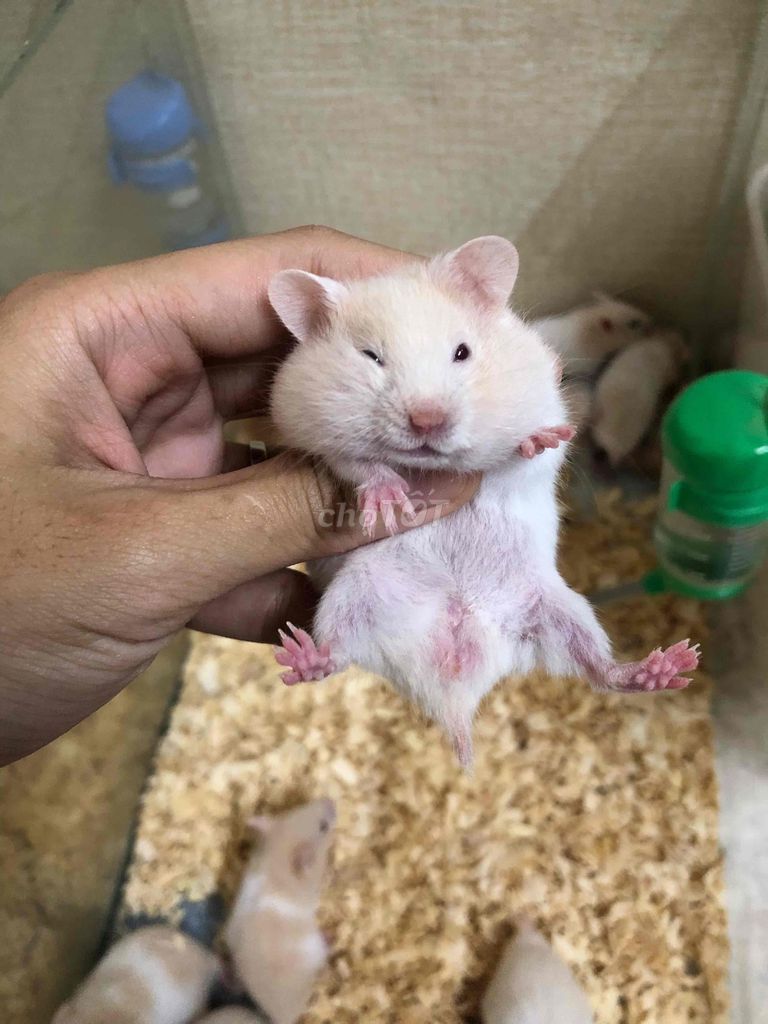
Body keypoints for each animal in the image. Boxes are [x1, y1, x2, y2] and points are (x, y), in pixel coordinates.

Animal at [224, 798, 336, 1024]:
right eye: (323, 827)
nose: (330, 800)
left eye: (298, 808)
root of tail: (283, 1015)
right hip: (315, 947)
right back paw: (332, 936)